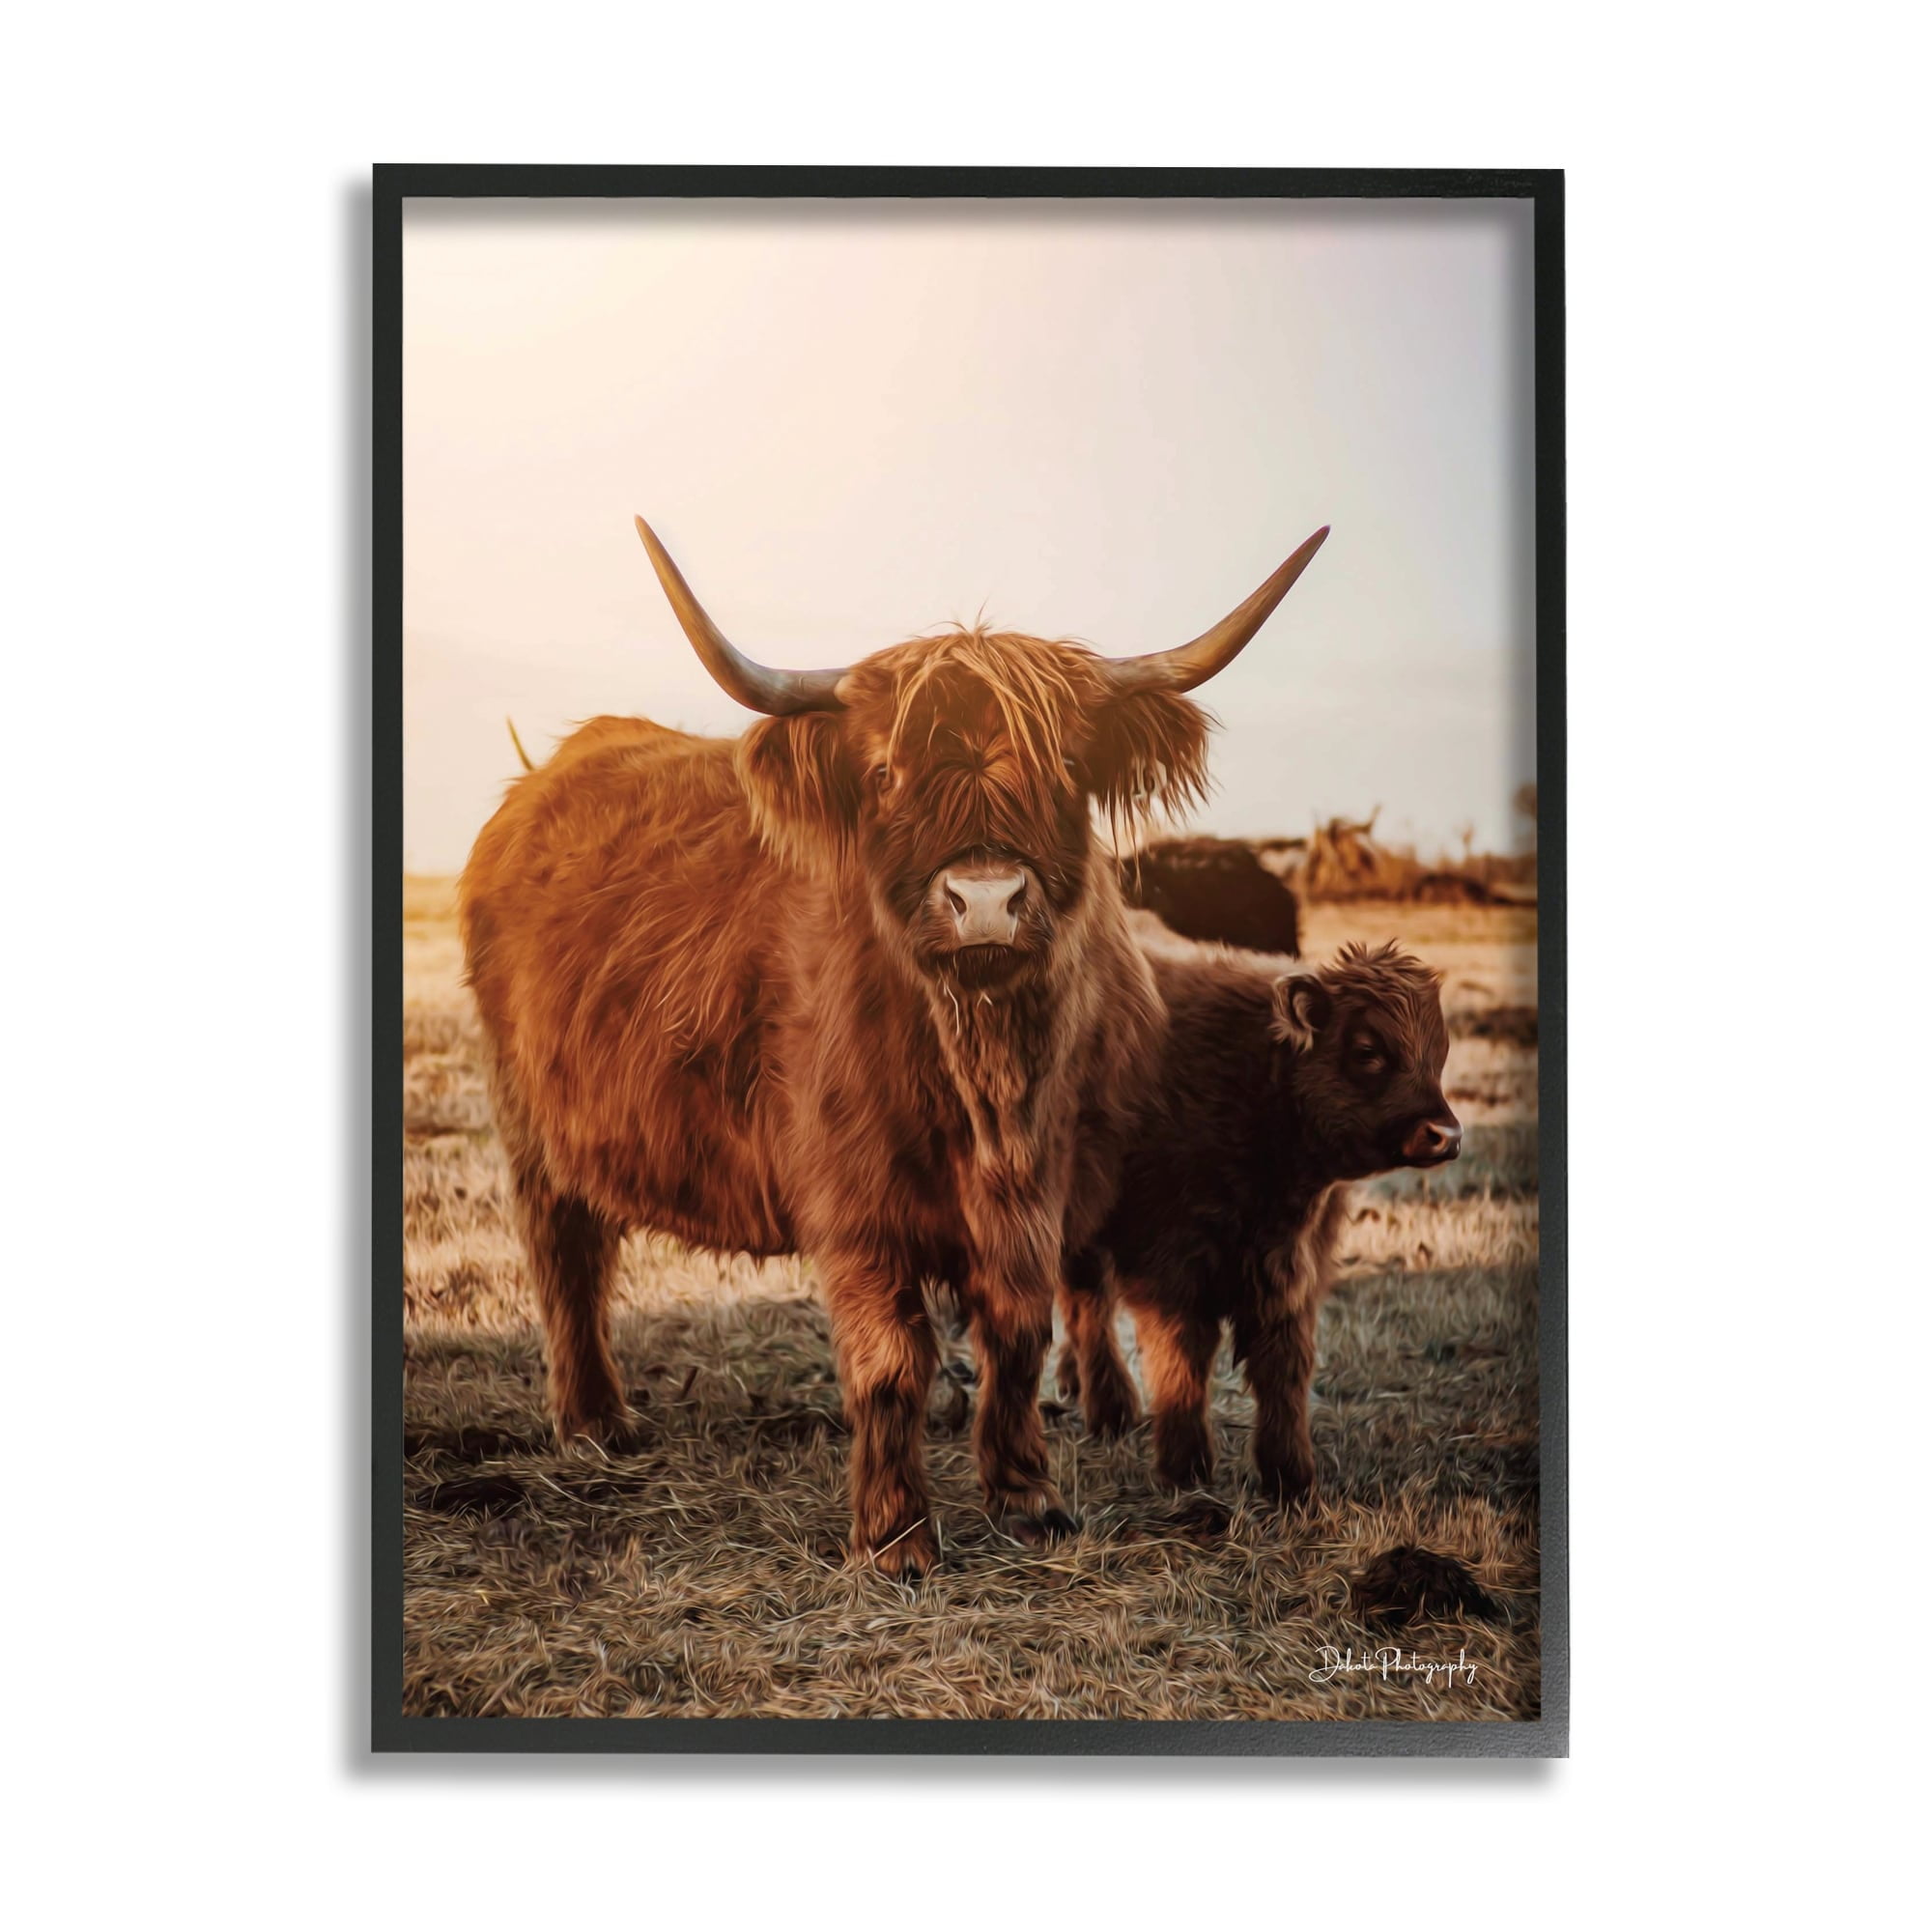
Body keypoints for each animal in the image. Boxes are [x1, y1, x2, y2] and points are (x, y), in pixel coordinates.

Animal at [1056, 938, 1459, 1507]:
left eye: (1439, 1053)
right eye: (1368, 1051)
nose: (1445, 1135)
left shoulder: (1291, 1273)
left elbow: (1283, 1368)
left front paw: (1291, 1479)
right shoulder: (1169, 1268)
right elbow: (1181, 1359)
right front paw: (1185, 1469)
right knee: (1086, 1304)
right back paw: (1110, 1409)